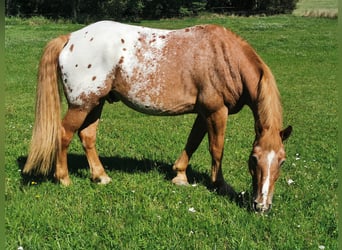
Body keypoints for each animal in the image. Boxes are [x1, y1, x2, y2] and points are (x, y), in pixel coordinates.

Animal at [23, 21, 292, 212]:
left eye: (282, 161)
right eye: (254, 159)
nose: (262, 206)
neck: (225, 56)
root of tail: (70, 38)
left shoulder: (204, 112)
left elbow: (193, 142)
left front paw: (180, 175)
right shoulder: (216, 111)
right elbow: (216, 149)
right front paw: (220, 185)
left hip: (94, 103)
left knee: (87, 136)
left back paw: (101, 176)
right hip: (81, 105)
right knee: (64, 134)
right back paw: (64, 178)